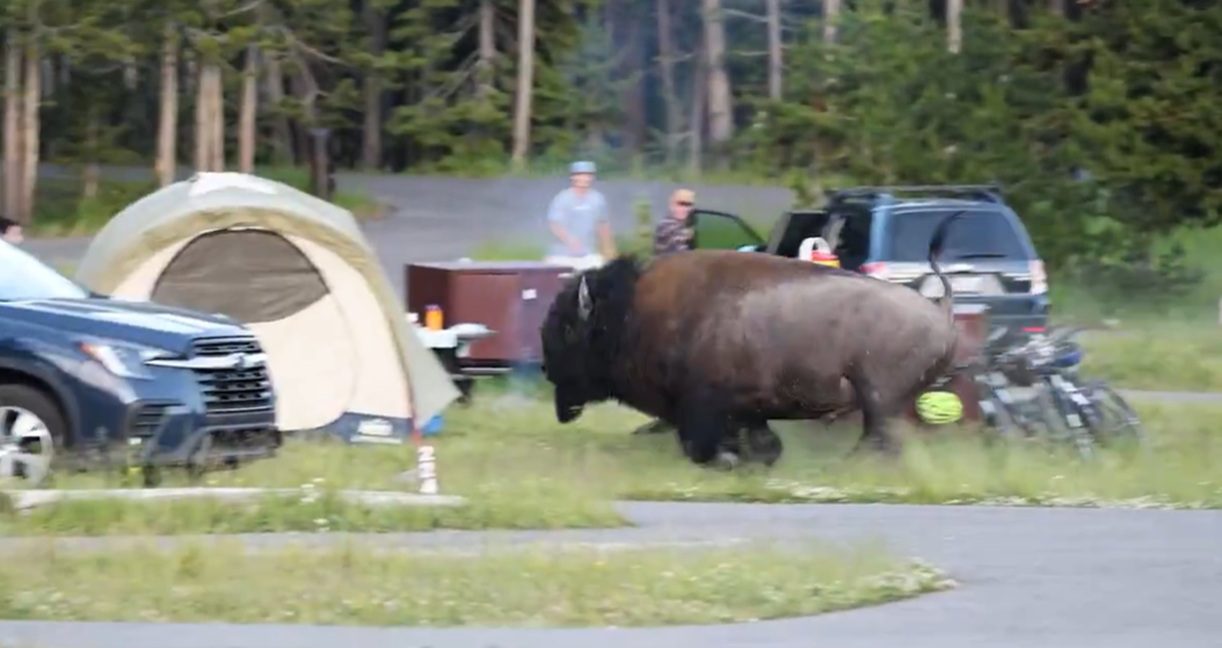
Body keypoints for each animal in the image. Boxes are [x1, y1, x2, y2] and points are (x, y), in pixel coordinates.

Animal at [539, 213, 963, 468]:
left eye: (567, 329)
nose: (545, 367)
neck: (631, 311)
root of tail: (939, 308)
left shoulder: (704, 407)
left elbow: (704, 443)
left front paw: (728, 462)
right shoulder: (748, 410)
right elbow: (762, 442)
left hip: (878, 399)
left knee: (879, 440)